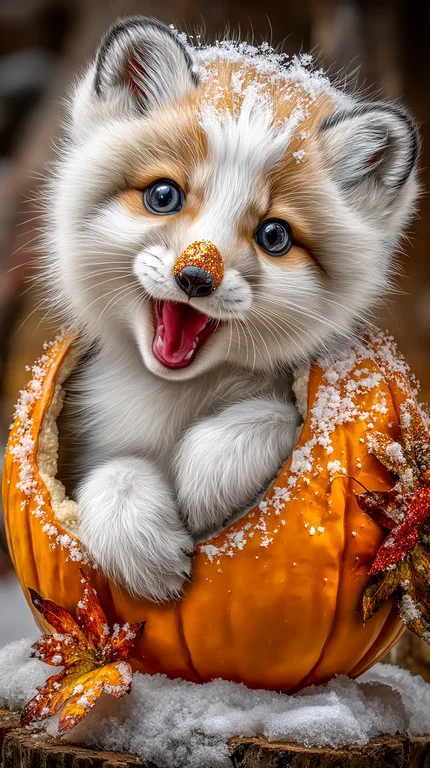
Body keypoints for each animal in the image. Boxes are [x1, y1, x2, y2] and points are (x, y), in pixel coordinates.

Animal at [45, 17, 419, 602]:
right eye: (163, 196)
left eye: (274, 235)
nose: (195, 278)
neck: (175, 401)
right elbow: (113, 473)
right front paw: (144, 548)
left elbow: (271, 421)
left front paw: (201, 485)